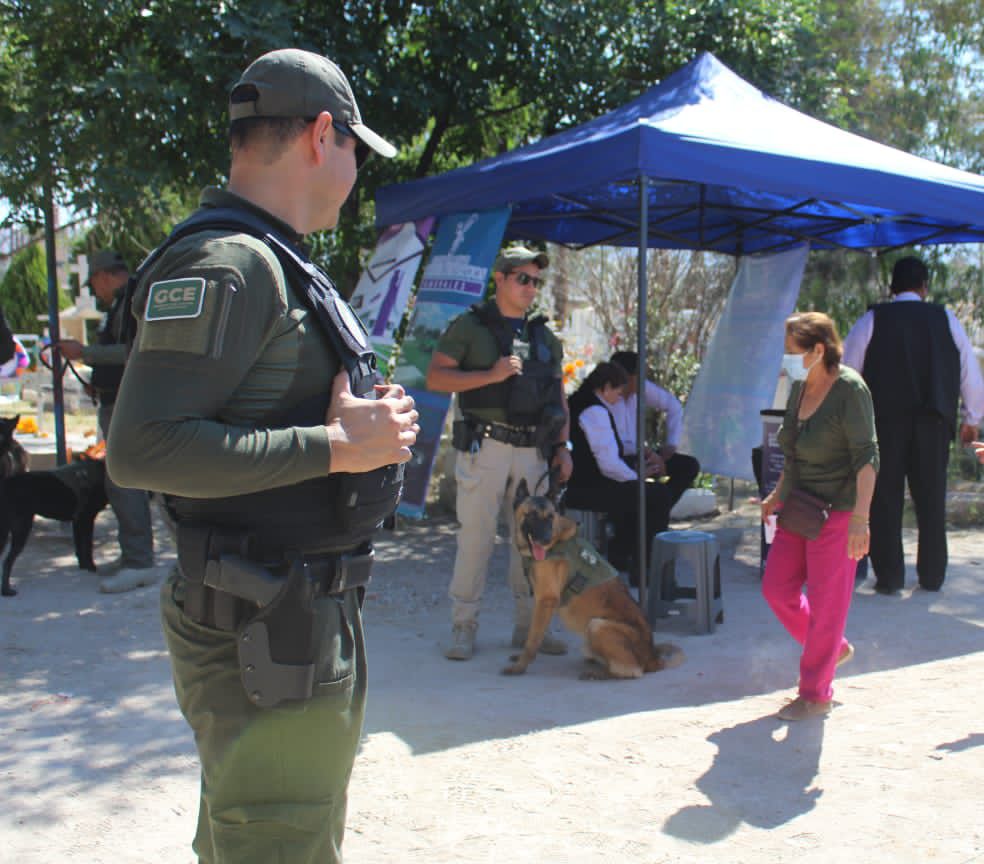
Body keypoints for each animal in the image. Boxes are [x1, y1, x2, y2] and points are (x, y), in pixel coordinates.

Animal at [0, 456, 108, 596]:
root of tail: (6, 484)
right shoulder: (86, 519)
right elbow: (88, 547)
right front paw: (91, 567)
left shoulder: (78, 521)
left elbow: (79, 548)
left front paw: (83, 566)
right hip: (21, 528)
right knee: (8, 561)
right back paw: (6, 590)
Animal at [508, 476, 684, 680]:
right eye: (531, 515)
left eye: (550, 517)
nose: (545, 539)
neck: (556, 543)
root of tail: (652, 658)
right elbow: (532, 633)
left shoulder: (545, 601)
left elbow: (532, 639)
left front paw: (520, 666)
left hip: (596, 625)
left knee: (632, 670)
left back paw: (599, 674)